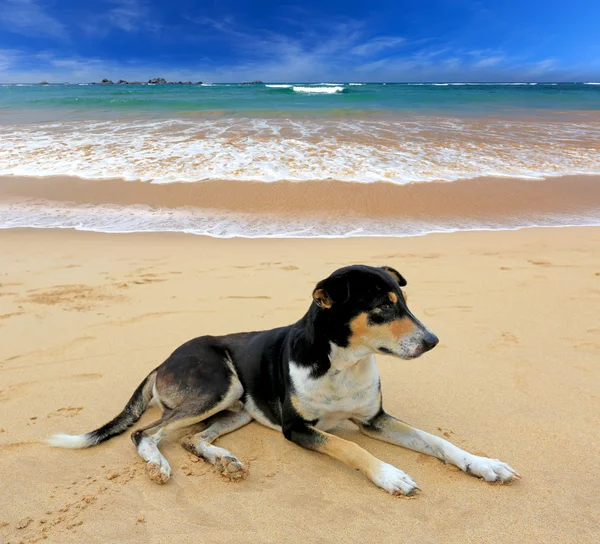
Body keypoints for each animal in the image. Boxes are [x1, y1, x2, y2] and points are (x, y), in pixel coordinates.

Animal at [50, 266, 520, 496]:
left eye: (403, 301)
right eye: (383, 307)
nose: (433, 341)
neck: (342, 364)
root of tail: (163, 360)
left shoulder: (375, 419)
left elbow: (436, 441)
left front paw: (483, 464)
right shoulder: (297, 429)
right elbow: (349, 447)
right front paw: (389, 475)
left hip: (240, 407)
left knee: (192, 439)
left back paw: (224, 460)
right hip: (220, 384)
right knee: (146, 433)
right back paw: (158, 465)